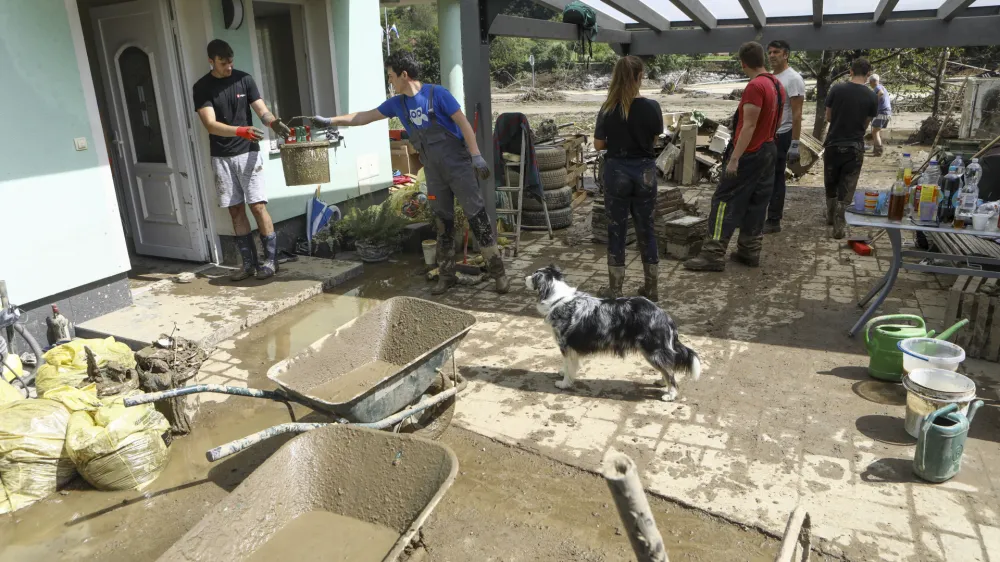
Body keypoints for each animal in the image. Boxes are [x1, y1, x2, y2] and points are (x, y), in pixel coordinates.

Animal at [528, 262, 700, 398]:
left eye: (534, 275)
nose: (525, 277)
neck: (558, 299)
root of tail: (666, 317)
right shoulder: (571, 349)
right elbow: (571, 365)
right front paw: (564, 373)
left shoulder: (565, 345)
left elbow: (569, 366)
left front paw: (564, 383)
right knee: (667, 368)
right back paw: (661, 382)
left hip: (652, 351)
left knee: (670, 373)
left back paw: (671, 394)